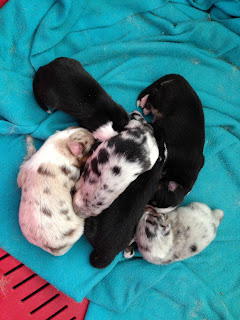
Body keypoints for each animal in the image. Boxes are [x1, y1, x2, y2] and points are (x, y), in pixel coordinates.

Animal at [17, 127, 94, 255]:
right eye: (91, 149)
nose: (96, 138)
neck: (63, 143)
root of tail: (53, 248)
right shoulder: (74, 173)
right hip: (79, 226)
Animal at [137, 74, 204, 211]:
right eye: (153, 200)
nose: (147, 208)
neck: (179, 177)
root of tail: (180, 78)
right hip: (163, 100)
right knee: (153, 93)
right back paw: (144, 102)